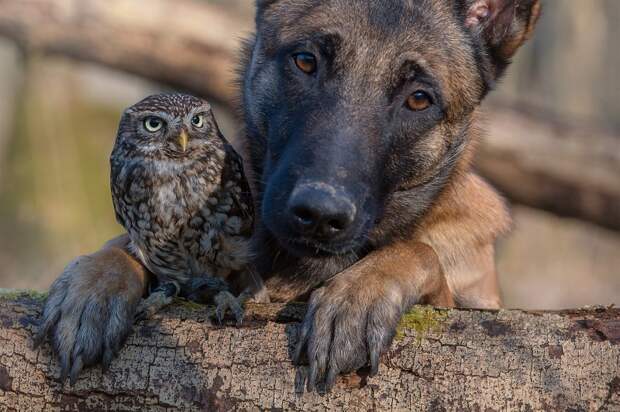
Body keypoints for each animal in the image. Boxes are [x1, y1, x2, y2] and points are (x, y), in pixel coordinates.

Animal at [35, 0, 536, 392]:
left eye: (418, 98)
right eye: (305, 61)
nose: (319, 215)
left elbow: (418, 251)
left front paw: (357, 295)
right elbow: (127, 245)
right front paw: (96, 284)